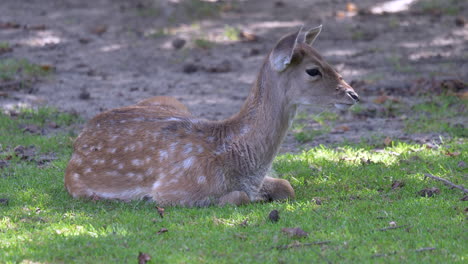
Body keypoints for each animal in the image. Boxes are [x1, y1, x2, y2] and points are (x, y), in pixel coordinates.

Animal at [65, 25, 358, 206]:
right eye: (313, 70)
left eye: (325, 59)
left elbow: (287, 186)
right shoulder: (172, 190)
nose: (353, 94)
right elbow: (239, 197)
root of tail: (79, 140)